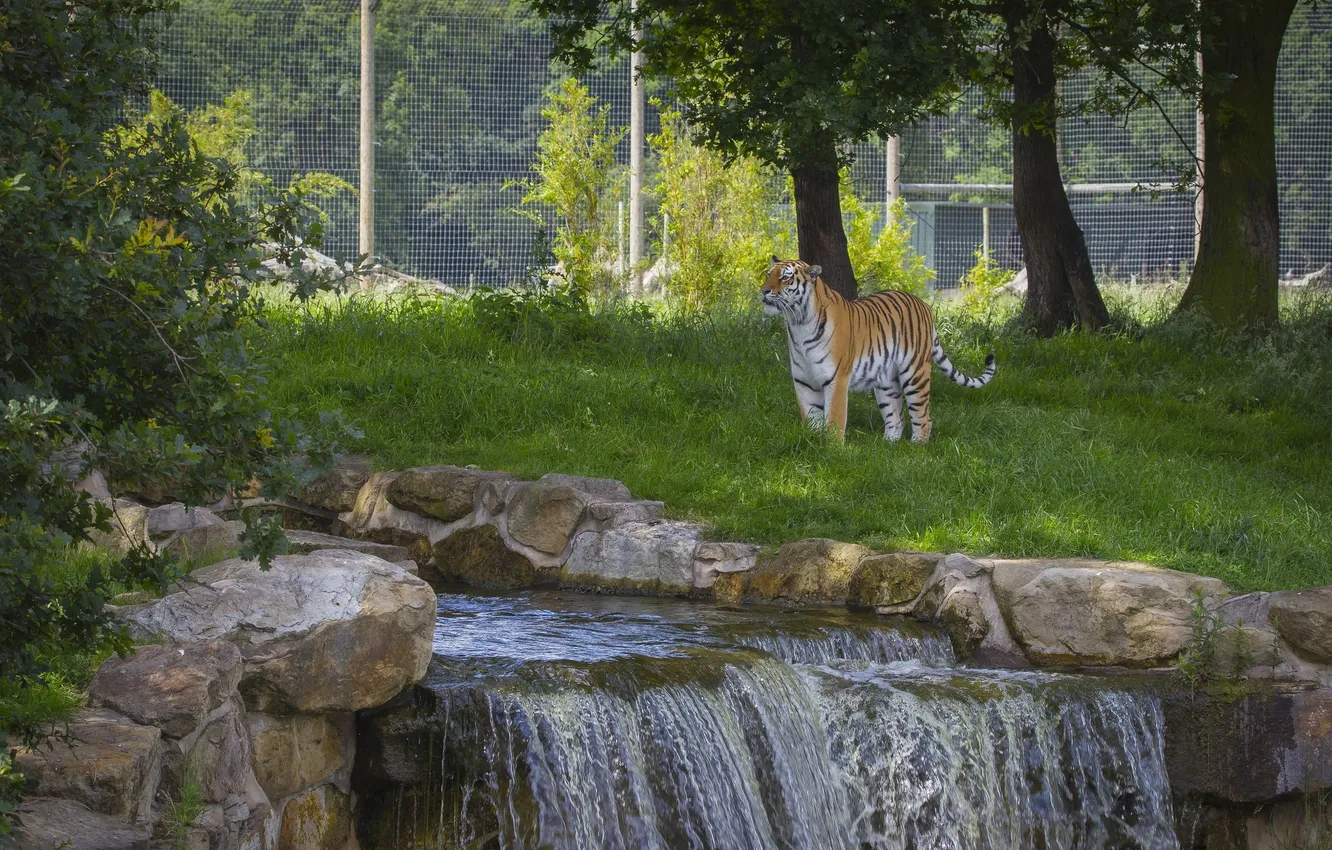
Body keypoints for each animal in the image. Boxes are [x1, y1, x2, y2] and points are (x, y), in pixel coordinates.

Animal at [760, 256, 996, 443]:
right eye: (768, 275)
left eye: (785, 278)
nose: (763, 291)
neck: (798, 322)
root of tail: (924, 305)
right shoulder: (804, 380)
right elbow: (810, 416)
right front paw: (812, 441)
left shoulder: (836, 378)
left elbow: (835, 418)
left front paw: (832, 449)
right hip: (886, 382)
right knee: (896, 418)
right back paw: (887, 445)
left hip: (915, 374)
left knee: (923, 416)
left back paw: (917, 446)